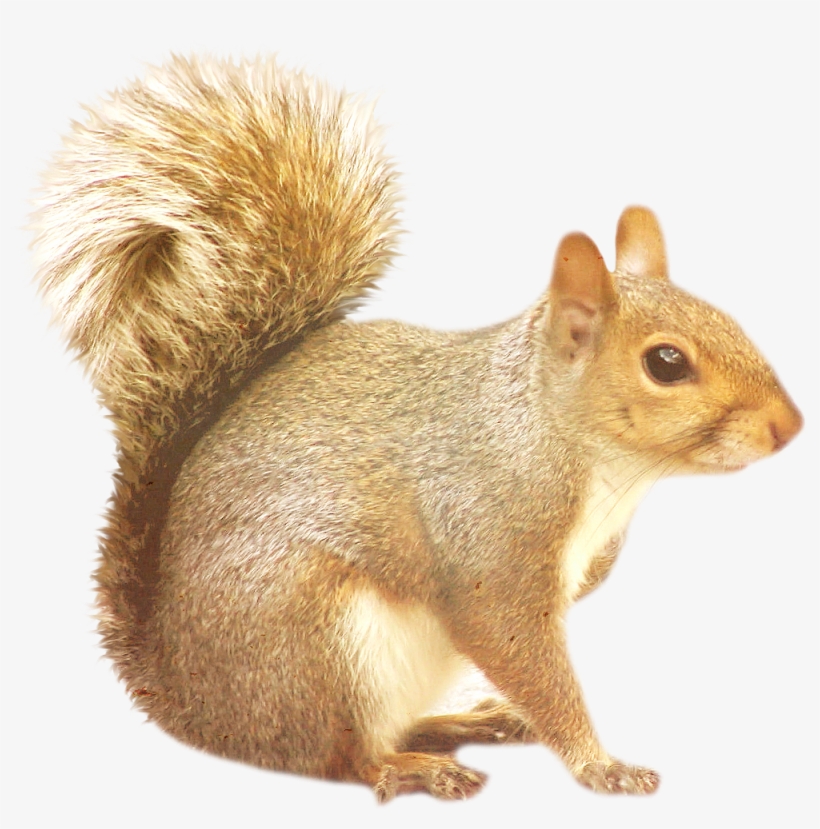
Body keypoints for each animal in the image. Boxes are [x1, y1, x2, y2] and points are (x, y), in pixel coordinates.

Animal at [33, 55, 803, 802]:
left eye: (730, 319)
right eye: (666, 363)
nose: (790, 426)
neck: (575, 447)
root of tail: (188, 700)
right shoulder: (491, 540)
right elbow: (519, 648)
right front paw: (600, 766)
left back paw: (464, 722)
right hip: (318, 641)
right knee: (341, 756)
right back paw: (412, 768)